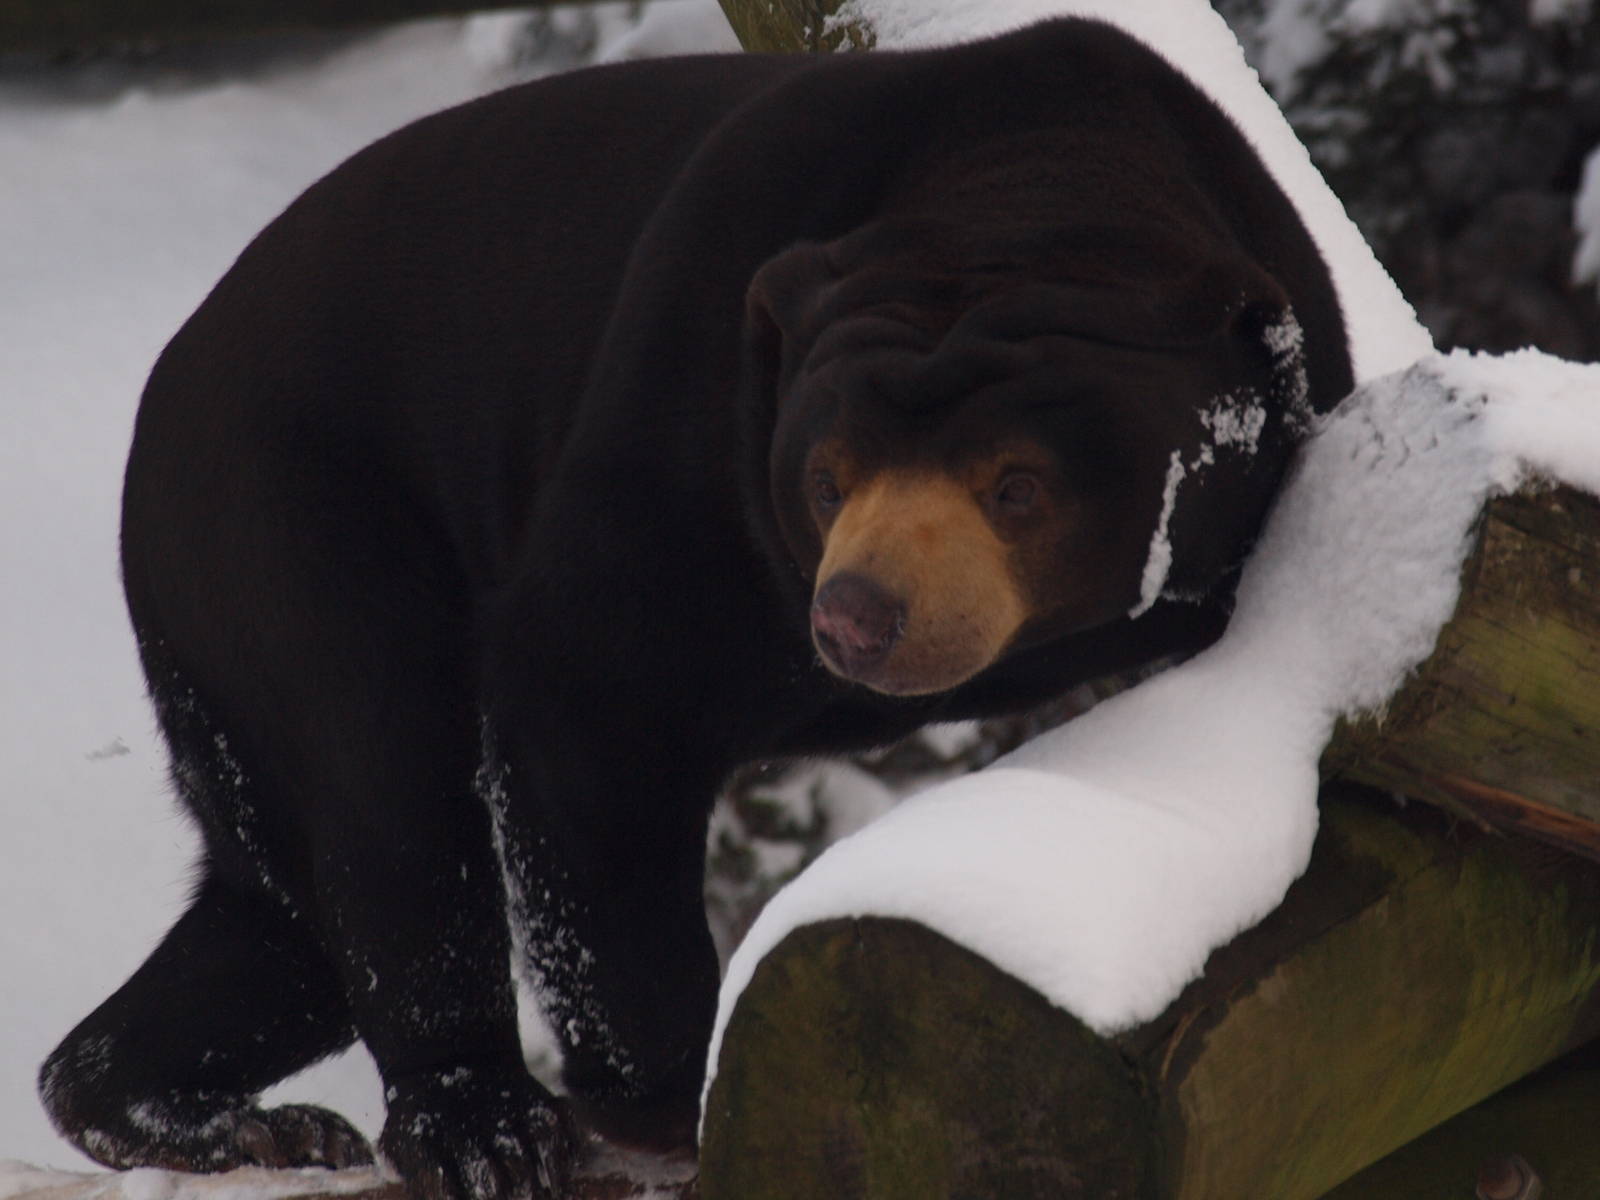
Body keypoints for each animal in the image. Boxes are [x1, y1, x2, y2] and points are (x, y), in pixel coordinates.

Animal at [41, 17, 1352, 1200]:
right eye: (826, 477)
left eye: (1016, 486)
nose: (857, 616)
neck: (1037, 180)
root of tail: (164, 395)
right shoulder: (688, 410)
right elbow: (590, 684)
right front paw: (675, 1099)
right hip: (293, 527)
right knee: (388, 798)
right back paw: (473, 1128)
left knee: (280, 906)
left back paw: (163, 1104)